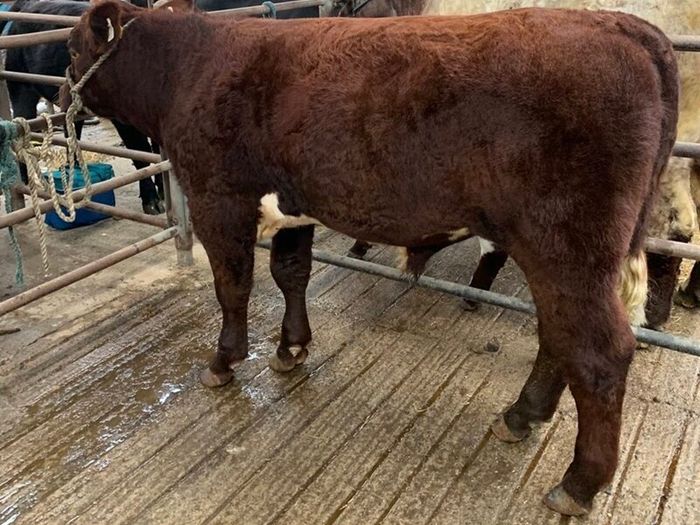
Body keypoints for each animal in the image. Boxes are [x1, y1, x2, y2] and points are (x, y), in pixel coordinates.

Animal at [62, 0, 679, 516]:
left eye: (71, 48)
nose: (62, 94)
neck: (190, 65)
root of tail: (628, 27)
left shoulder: (219, 201)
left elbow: (233, 286)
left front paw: (224, 361)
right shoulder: (295, 206)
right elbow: (291, 274)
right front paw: (291, 348)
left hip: (569, 248)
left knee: (597, 353)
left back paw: (577, 484)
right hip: (562, 257)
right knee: (558, 336)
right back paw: (520, 416)